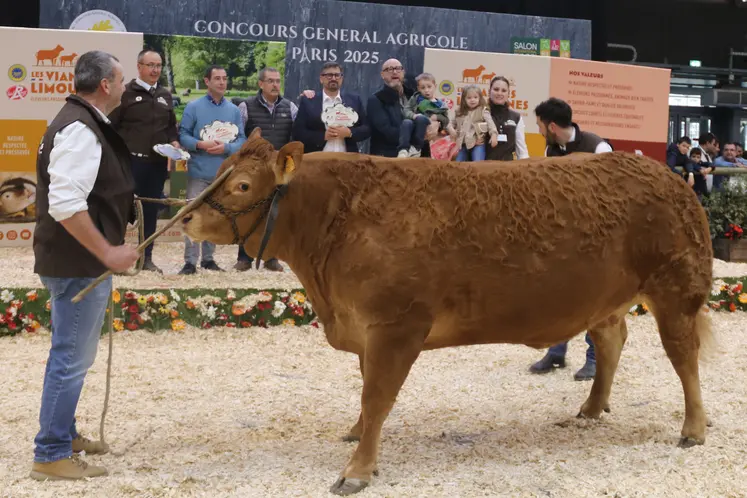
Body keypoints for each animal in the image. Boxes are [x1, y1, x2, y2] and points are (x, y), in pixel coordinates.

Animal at [183, 129, 720, 498]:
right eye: (222, 168)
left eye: (242, 185)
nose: (186, 217)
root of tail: (669, 175)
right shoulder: (365, 328)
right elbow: (366, 394)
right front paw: (356, 434)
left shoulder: (397, 326)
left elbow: (377, 397)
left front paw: (357, 471)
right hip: (606, 298)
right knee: (611, 341)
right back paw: (590, 409)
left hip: (677, 287)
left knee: (684, 356)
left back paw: (693, 430)